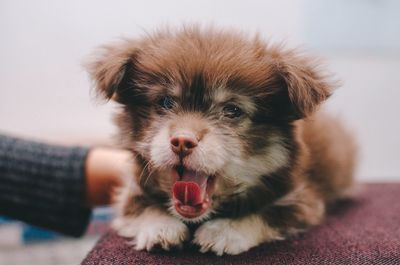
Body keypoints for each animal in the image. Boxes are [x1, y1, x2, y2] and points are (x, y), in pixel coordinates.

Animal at [86, 26, 356, 254]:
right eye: (165, 102)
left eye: (232, 110)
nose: (182, 141)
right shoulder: (129, 189)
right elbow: (139, 206)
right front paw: (160, 226)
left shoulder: (303, 199)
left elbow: (267, 213)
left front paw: (225, 230)